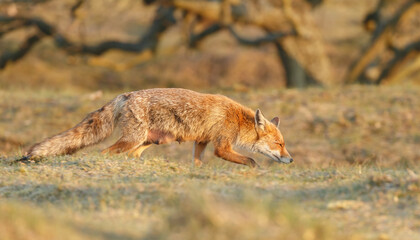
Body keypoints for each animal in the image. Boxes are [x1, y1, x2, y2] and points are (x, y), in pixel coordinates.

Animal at [23, 87, 292, 167]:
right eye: (279, 144)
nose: (290, 159)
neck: (237, 119)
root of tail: (126, 94)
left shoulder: (202, 140)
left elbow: (197, 162)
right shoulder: (221, 146)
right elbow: (251, 160)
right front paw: (256, 170)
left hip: (149, 140)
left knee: (131, 155)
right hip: (134, 139)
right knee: (104, 152)